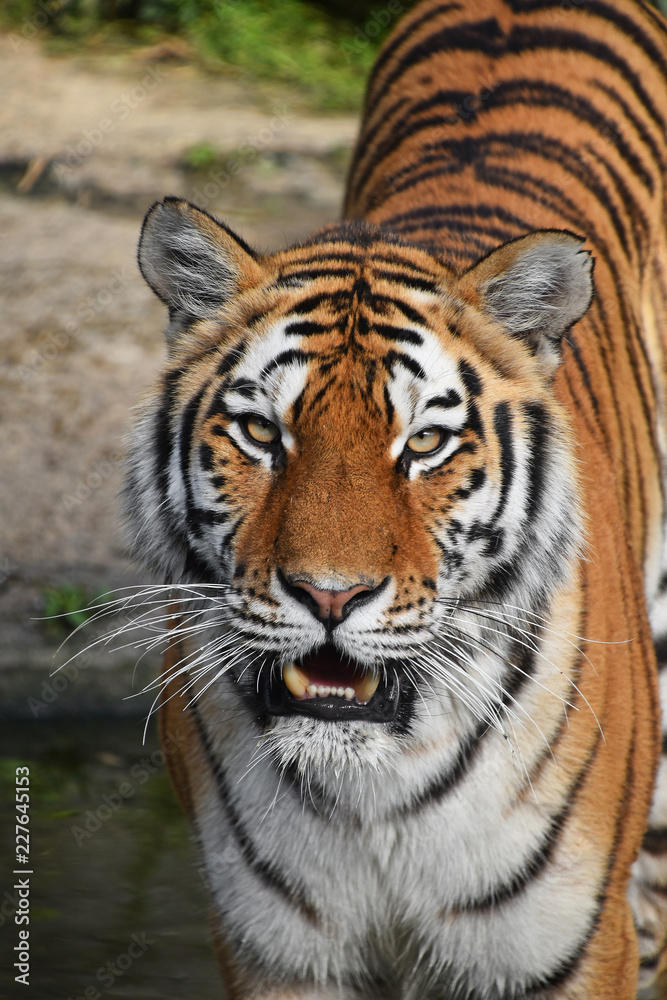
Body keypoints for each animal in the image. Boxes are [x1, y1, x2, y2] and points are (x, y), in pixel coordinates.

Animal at [121, 0, 667, 996]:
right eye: (262, 433)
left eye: (423, 444)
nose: (328, 596)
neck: (376, 790)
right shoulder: (275, 949)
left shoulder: (564, 944)